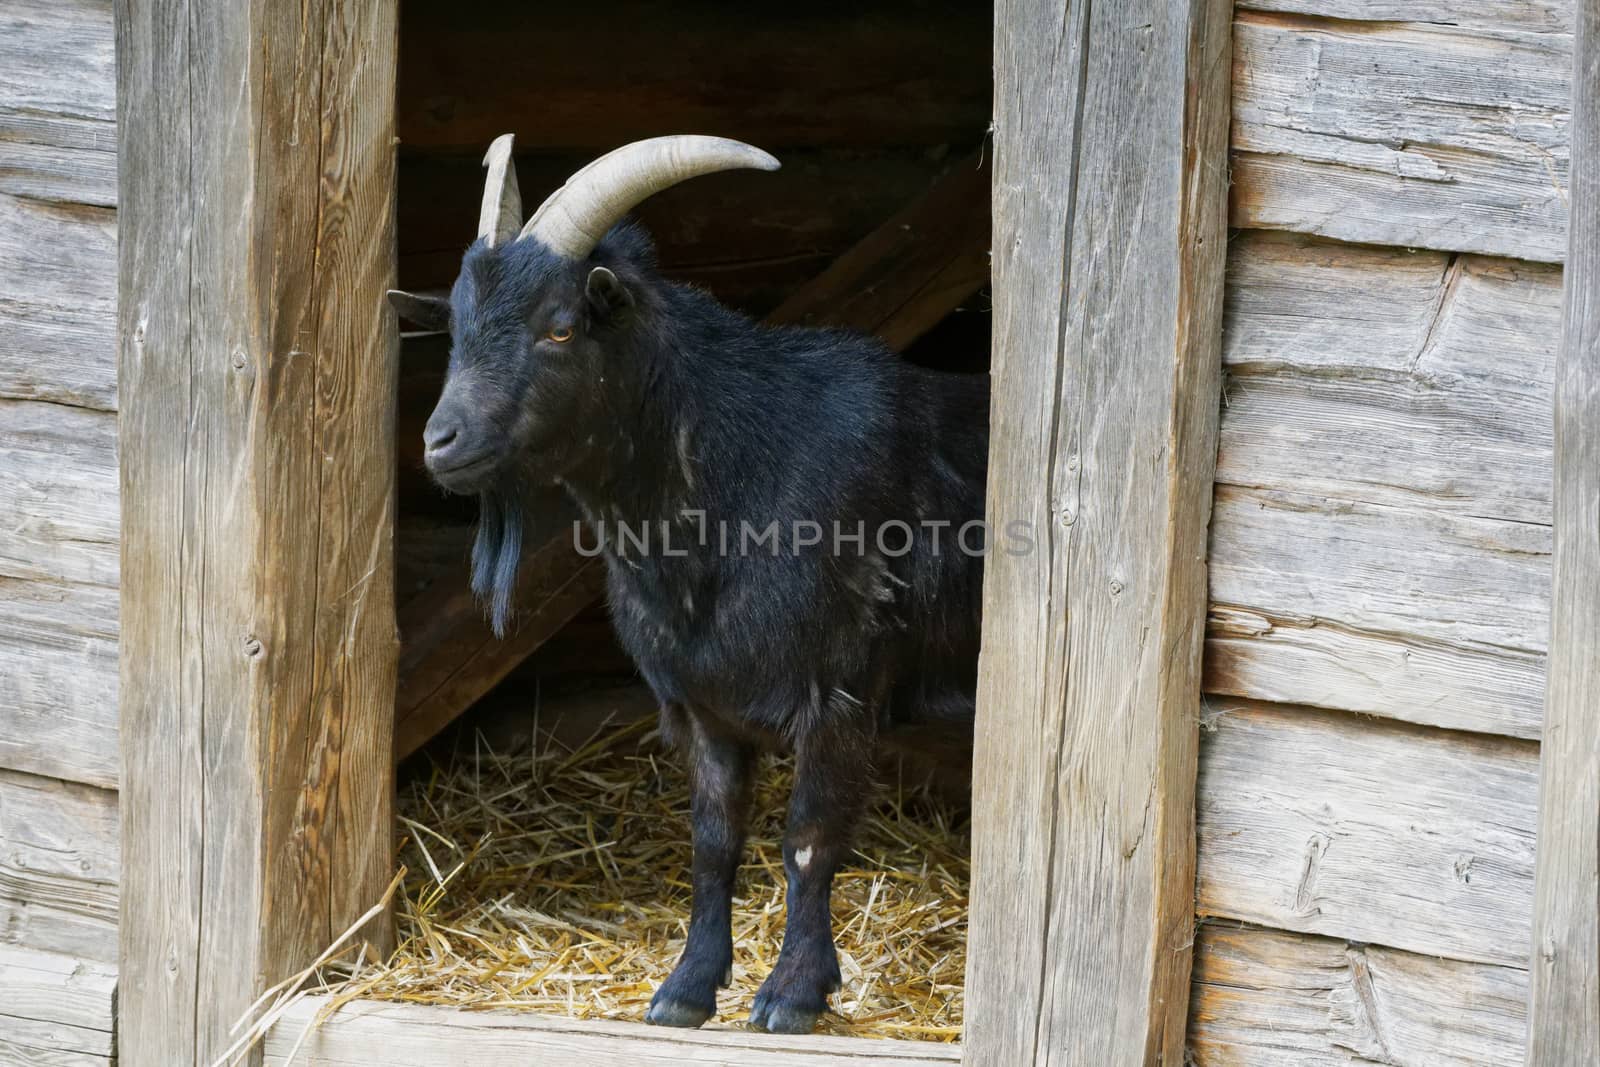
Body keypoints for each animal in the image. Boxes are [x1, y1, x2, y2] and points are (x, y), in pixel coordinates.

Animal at [387, 133, 985, 1036]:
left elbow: (809, 836)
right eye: (455, 326)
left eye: (560, 326)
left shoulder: (842, 688)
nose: (441, 440)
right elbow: (713, 840)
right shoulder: (700, 703)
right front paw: (685, 988)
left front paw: (790, 994)